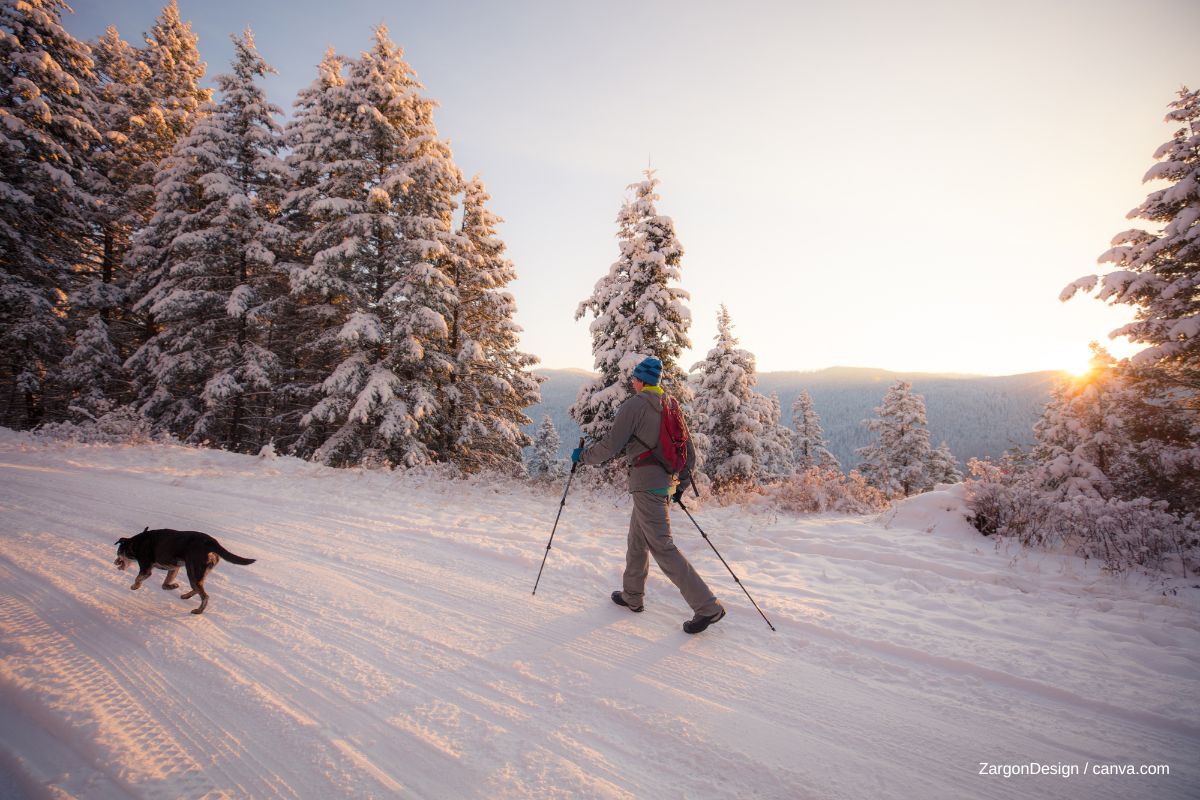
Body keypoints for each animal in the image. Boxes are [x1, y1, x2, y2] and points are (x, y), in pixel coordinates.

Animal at [113, 527, 256, 618]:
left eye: (118, 552)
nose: (115, 562)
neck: (135, 543)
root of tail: (212, 543)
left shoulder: (146, 568)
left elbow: (138, 578)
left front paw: (134, 586)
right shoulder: (173, 568)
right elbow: (164, 585)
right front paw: (173, 586)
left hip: (192, 571)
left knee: (205, 596)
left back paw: (198, 611)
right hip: (198, 574)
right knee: (198, 589)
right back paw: (186, 596)